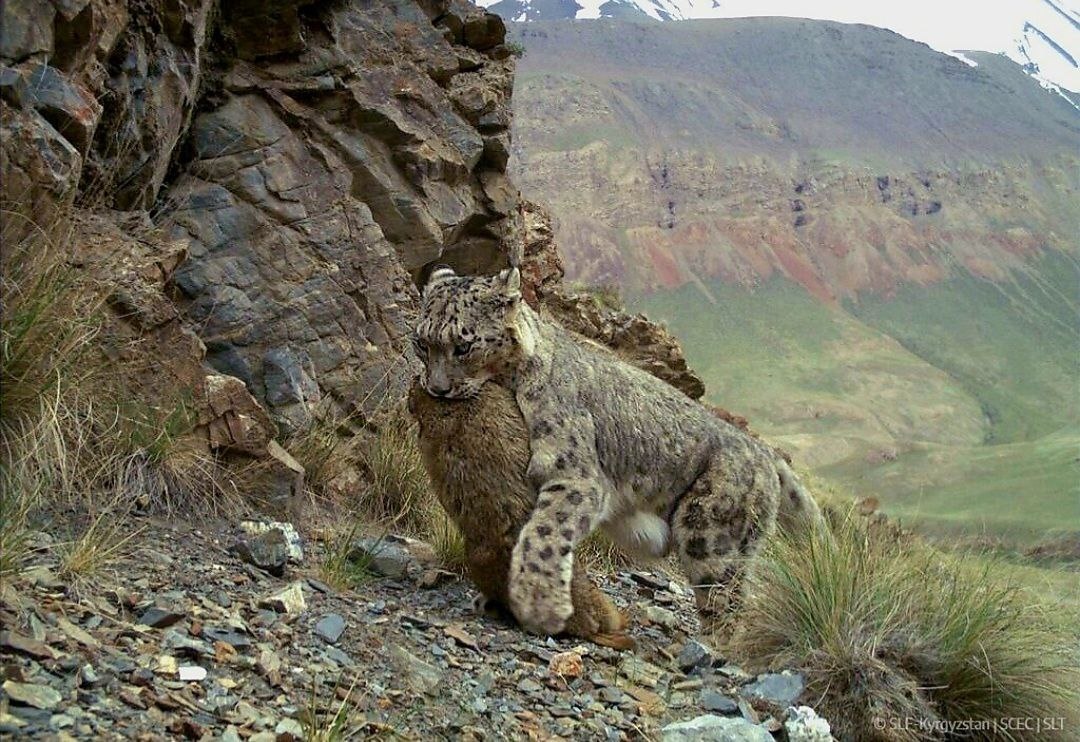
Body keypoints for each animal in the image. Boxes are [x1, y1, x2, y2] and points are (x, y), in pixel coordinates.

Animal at [414, 265, 820, 644]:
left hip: (710, 536)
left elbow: (543, 533)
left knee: (728, 601)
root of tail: (762, 449)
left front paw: (538, 602)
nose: (437, 388)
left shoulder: (575, 474)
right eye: (421, 343)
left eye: (463, 346)